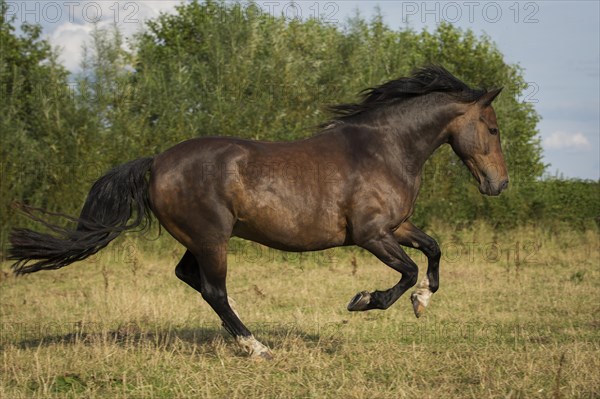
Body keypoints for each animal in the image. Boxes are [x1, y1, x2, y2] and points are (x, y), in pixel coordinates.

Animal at [9, 65, 506, 360]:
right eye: (493, 128)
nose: (498, 185)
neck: (383, 149)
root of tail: (156, 162)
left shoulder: (396, 226)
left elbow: (433, 251)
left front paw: (423, 301)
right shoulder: (371, 235)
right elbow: (406, 271)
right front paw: (365, 300)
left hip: (200, 239)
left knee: (190, 278)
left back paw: (244, 341)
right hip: (213, 239)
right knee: (214, 289)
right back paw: (257, 347)